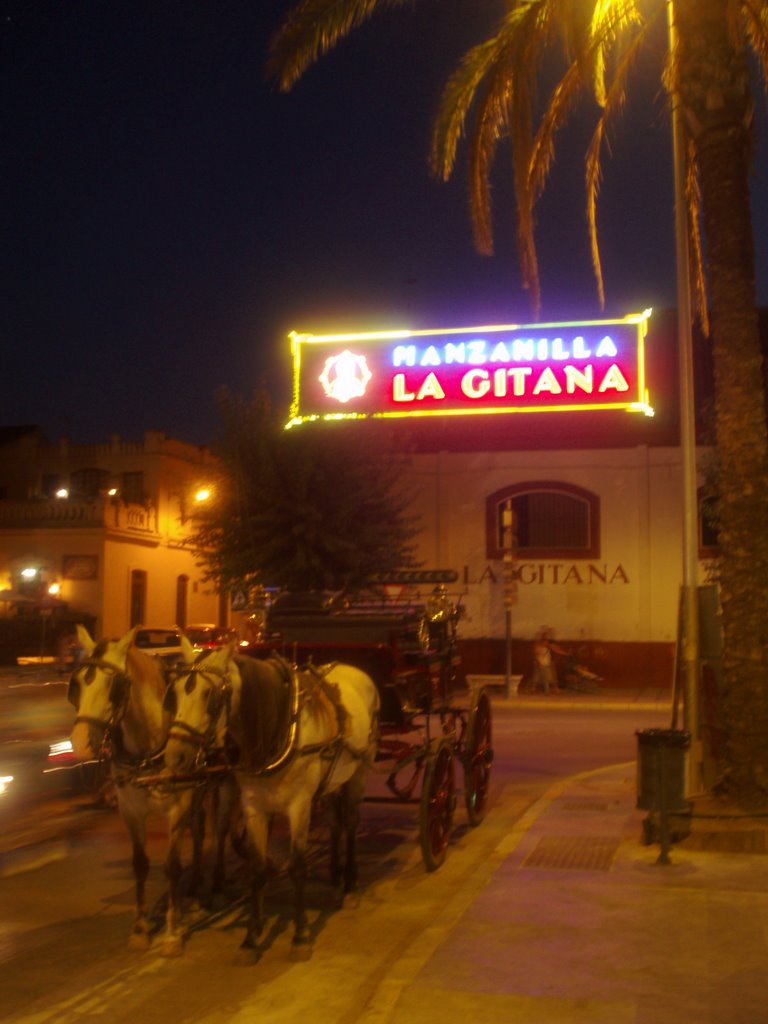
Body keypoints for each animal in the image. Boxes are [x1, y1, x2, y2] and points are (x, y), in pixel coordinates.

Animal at [68, 626, 237, 954]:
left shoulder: (177, 806)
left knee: (221, 830)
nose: (80, 743)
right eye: (78, 683)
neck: (146, 746)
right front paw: (140, 928)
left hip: (222, 785)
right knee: (200, 832)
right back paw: (195, 888)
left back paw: (218, 885)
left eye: (113, 685)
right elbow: (140, 865)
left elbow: (171, 866)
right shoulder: (130, 810)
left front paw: (172, 933)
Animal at [163, 638, 380, 950]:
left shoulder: (299, 806)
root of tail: (355, 670)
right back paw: (335, 874)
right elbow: (256, 868)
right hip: (332, 780)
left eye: (210, 695)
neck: (276, 727)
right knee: (335, 824)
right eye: (177, 692)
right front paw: (252, 935)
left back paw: (350, 884)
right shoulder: (254, 807)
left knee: (350, 822)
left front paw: (300, 933)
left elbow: (298, 866)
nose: (175, 756)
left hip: (360, 769)